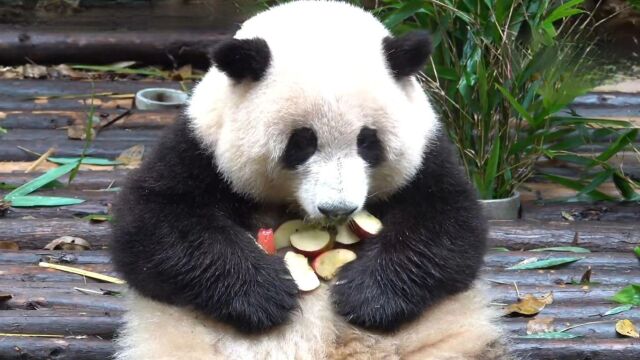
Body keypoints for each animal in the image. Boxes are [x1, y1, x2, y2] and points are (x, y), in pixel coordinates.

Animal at [112, 1, 508, 358]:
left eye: (368, 142)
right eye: (301, 144)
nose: (338, 208)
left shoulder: (427, 150)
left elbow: (451, 226)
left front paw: (366, 296)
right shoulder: (202, 145)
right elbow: (152, 226)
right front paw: (267, 294)